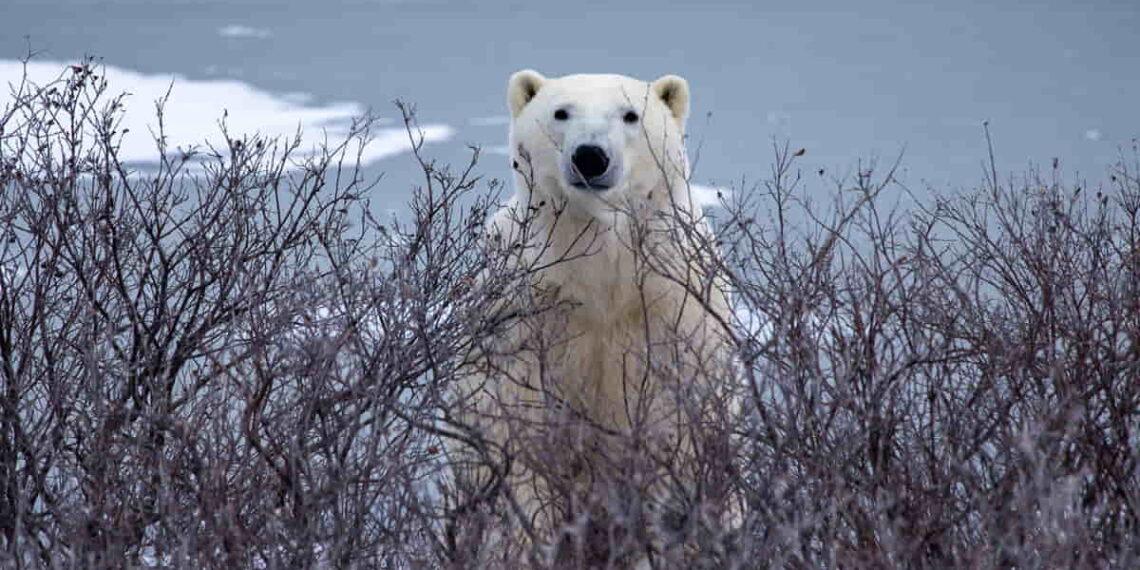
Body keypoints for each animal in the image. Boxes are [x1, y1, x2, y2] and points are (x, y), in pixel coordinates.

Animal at [449, 70, 735, 566]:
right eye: (561, 112)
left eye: (630, 115)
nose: (590, 156)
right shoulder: (524, 318)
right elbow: (518, 432)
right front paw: (526, 544)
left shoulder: (674, 311)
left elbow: (674, 427)